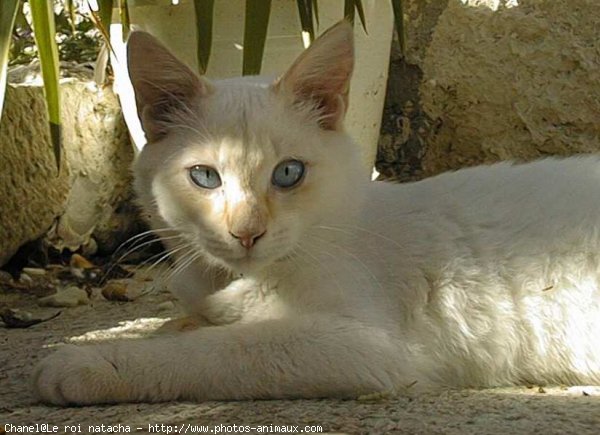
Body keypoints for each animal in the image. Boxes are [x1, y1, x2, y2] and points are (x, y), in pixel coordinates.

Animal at [34, 22, 600, 408]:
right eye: (205, 177)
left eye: (288, 173)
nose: (247, 233)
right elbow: (195, 322)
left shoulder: (358, 345)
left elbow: (222, 348)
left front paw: (88, 359)